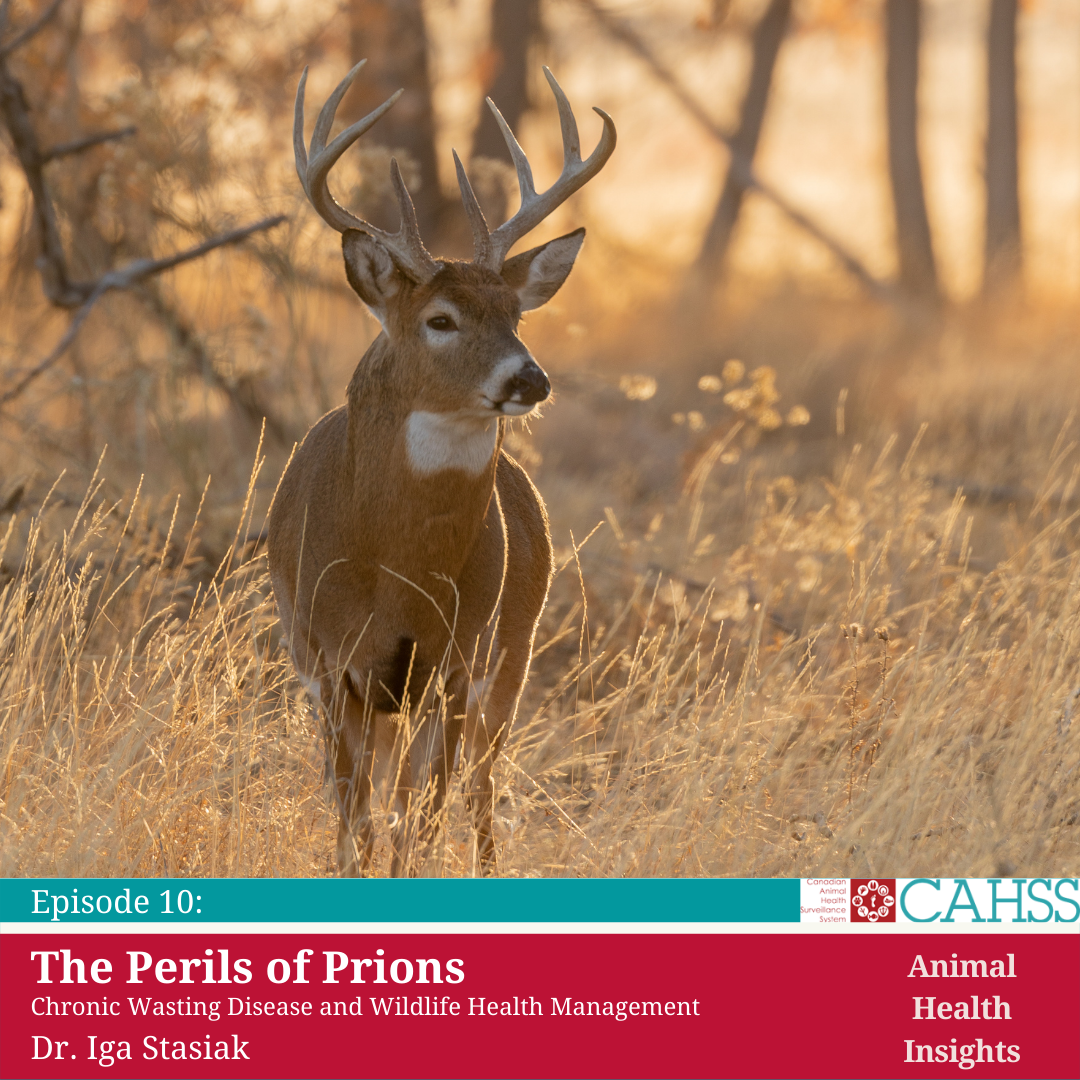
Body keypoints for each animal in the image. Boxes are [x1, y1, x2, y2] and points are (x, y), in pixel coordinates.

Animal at [267, 60, 616, 876]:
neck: (395, 568)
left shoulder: (457, 661)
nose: (530, 378)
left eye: (516, 315)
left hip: (512, 652)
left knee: (480, 786)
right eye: (441, 319)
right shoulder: (327, 661)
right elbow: (355, 821)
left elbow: (418, 819)